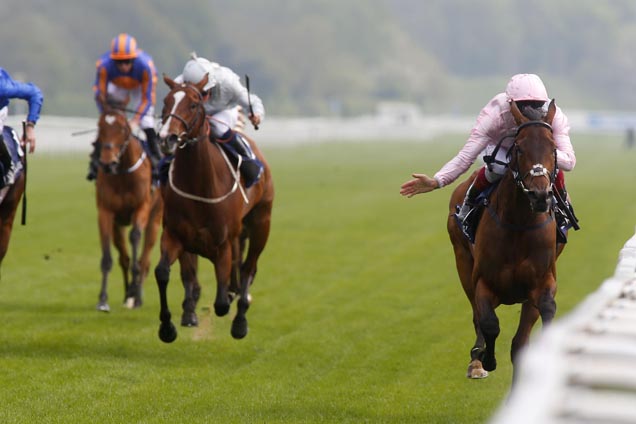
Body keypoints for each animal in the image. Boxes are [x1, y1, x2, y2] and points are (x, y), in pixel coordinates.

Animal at [95, 109, 164, 312]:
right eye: (100, 127)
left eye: (123, 129)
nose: (107, 163)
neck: (123, 175)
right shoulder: (106, 212)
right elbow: (109, 257)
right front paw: (103, 300)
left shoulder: (141, 208)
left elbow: (135, 238)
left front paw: (135, 292)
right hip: (118, 225)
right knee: (124, 259)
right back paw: (128, 296)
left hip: (155, 219)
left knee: (145, 259)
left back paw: (137, 295)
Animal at [156, 74, 274, 342]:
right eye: (166, 102)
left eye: (193, 104)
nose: (167, 138)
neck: (200, 186)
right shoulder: (174, 235)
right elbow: (163, 273)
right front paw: (167, 327)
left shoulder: (223, 244)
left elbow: (221, 302)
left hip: (261, 225)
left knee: (248, 268)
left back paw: (240, 320)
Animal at [450, 100, 564, 380]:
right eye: (519, 148)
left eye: (553, 148)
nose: (539, 196)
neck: (519, 225)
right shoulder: (483, 281)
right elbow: (488, 322)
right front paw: (486, 359)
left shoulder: (543, 281)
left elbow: (547, 309)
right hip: (462, 261)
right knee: (477, 317)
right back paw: (477, 361)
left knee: (519, 343)